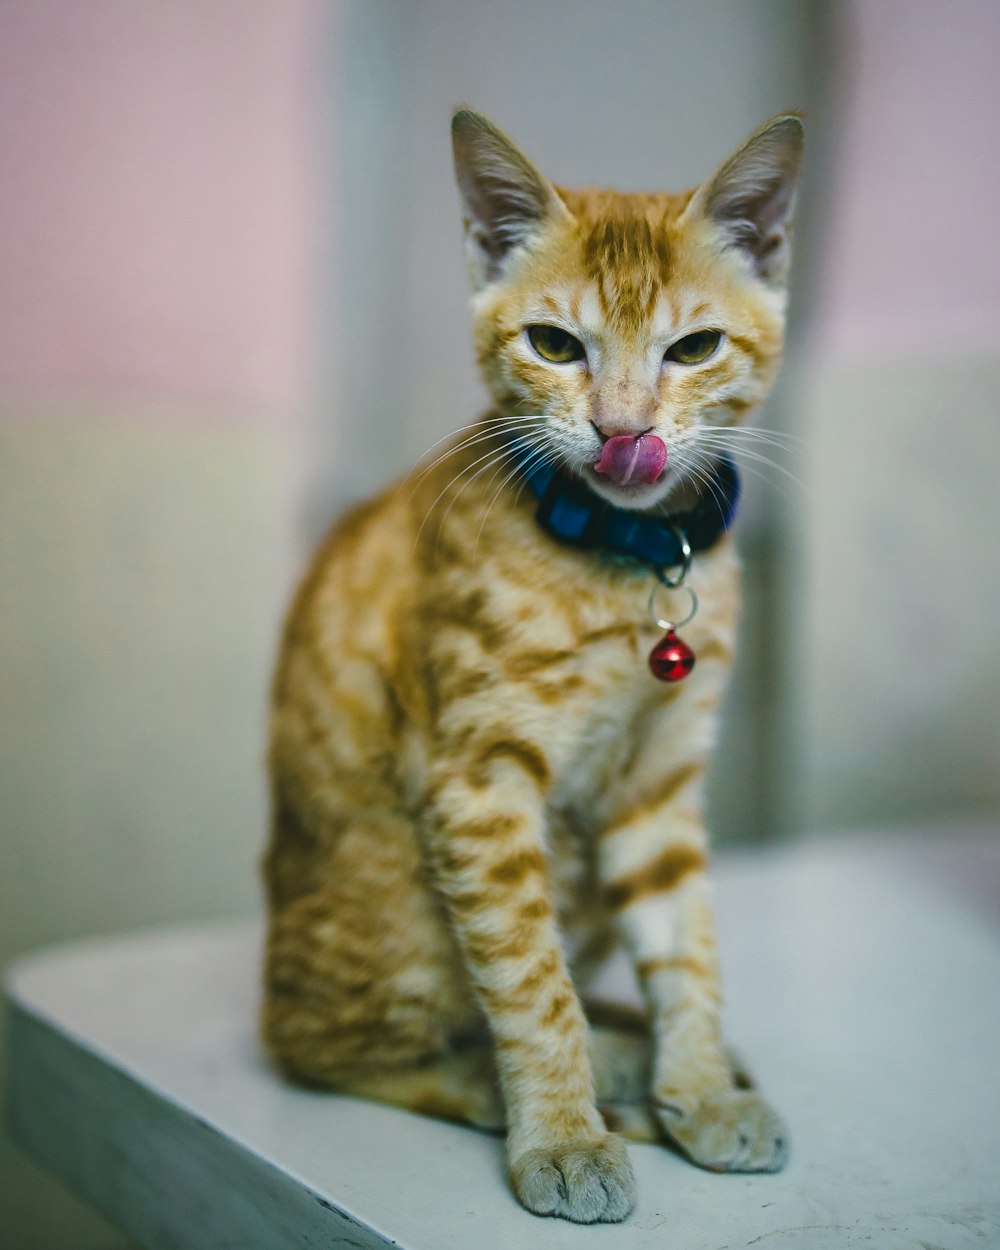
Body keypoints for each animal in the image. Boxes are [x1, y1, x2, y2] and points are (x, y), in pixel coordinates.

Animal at [261, 105, 800, 1220]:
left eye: (694, 347)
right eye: (555, 344)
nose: (624, 430)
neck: (629, 563)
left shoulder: (659, 786)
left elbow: (688, 946)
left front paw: (699, 1086)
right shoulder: (480, 783)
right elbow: (527, 979)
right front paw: (561, 1131)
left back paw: (639, 1050)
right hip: (397, 926)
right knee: (328, 1046)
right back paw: (542, 1080)